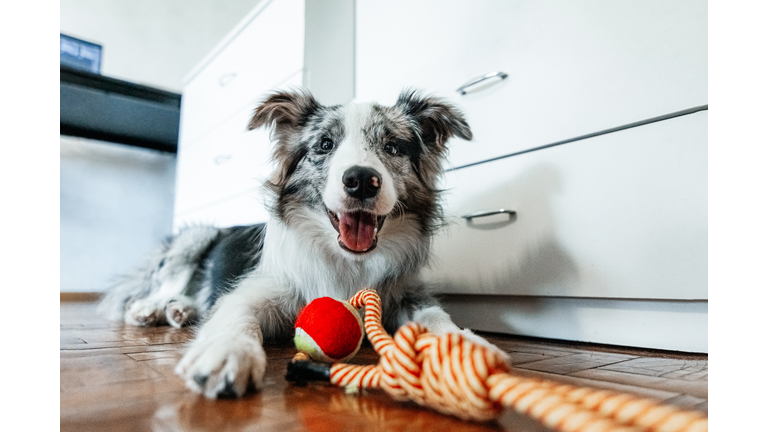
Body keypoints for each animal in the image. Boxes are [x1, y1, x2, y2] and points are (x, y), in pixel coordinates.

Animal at [99, 88, 488, 398]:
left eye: (392, 147)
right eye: (325, 145)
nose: (362, 180)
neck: (347, 261)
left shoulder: (404, 291)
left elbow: (435, 314)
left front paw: (462, 345)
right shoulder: (258, 288)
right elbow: (237, 312)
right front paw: (228, 351)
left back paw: (182, 309)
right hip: (197, 236)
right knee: (160, 287)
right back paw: (152, 309)